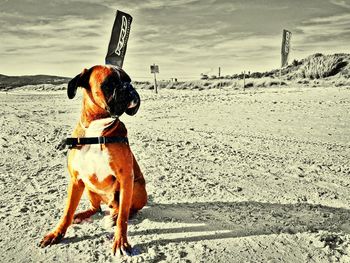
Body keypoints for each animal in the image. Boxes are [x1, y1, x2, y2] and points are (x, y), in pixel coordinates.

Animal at [39, 65, 146, 256]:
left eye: (129, 80)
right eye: (109, 83)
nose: (129, 87)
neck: (97, 132)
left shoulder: (126, 178)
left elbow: (123, 218)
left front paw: (121, 242)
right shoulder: (75, 180)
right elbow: (67, 211)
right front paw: (56, 234)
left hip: (137, 187)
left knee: (126, 210)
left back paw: (114, 216)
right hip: (89, 188)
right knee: (97, 209)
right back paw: (82, 215)